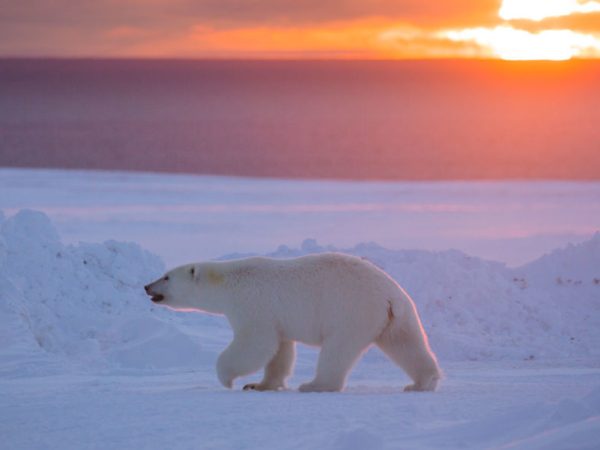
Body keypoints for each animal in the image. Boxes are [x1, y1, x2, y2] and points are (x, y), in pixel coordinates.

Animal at [144, 255, 440, 392]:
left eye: (166, 276)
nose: (147, 286)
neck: (228, 282)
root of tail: (391, 295)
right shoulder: (277, 317)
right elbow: (279, 350)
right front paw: (260, 385)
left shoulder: (253, 306)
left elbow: (255, 344)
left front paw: (227, 379)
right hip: (397, 317)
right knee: (407, 344)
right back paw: (422, 382)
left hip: (351, 311)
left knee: (337, 350)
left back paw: (315, 384)